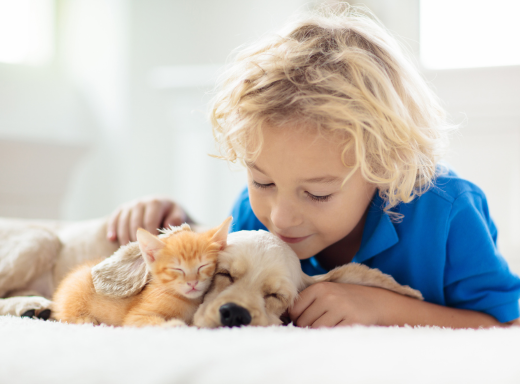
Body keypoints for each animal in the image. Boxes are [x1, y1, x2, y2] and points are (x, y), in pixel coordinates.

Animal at [52, 216, 232, 328]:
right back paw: (84, 319)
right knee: (65, 316)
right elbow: (152, 322)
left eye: (203, 266)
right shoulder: (135, 317)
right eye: (177, 269)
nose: (193, 282)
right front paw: (174, 325)